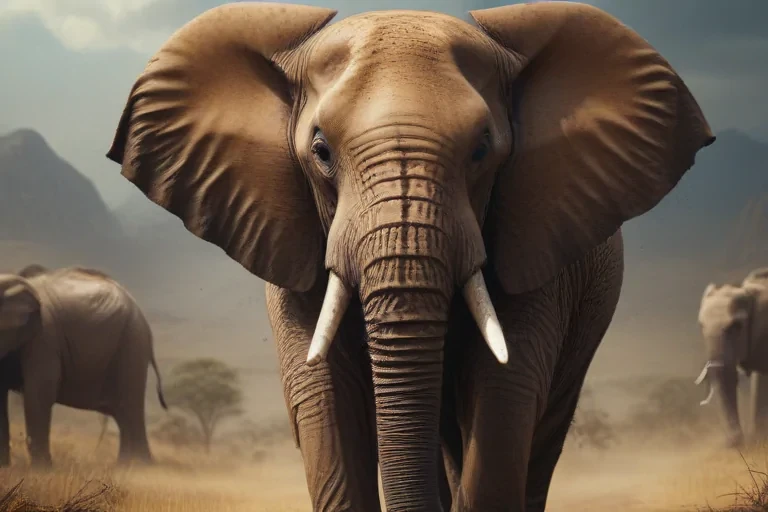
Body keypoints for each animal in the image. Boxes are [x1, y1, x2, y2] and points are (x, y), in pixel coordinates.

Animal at [0, 265, 168, 467]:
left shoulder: (44, 337)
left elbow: (39, 393)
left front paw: (42, 471)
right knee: (122, 413)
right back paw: (124, 466)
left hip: (132, 344)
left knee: (130, 408)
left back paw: (140, 468)